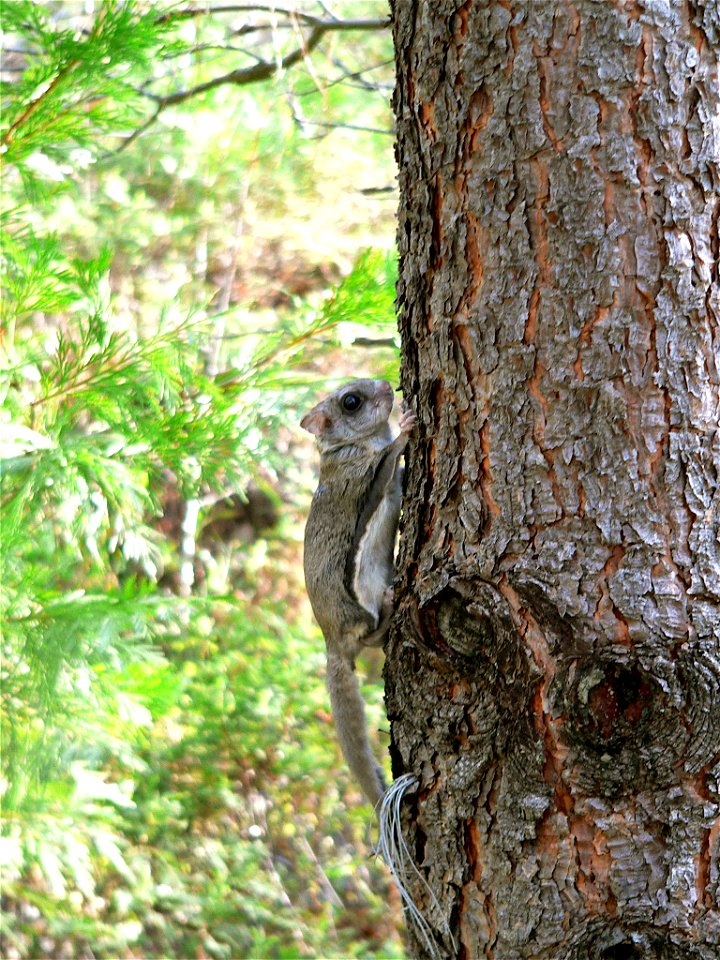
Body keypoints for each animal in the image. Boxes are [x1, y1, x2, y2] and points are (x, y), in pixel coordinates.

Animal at [300, 378, 416, 808]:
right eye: (351, 402)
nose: (387, 384)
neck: (345, 447)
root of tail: (332, 642)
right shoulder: (362, 477)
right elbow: (389, 463)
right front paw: (406, 429)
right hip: (360, 601)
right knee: (371, 634)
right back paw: (389, 606)